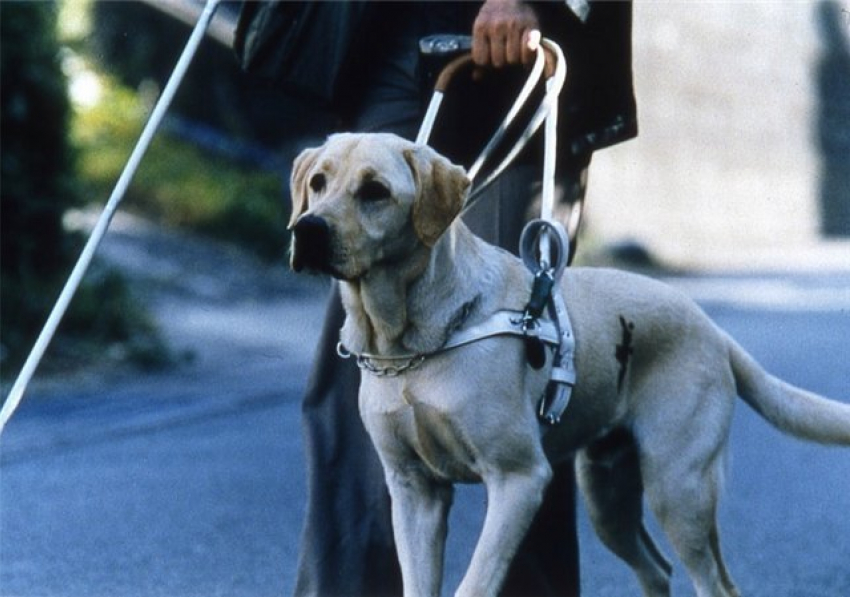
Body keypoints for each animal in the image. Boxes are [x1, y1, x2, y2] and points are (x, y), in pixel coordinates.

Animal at [286, 134, 848, 596]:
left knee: (716, 584)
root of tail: (714, 330)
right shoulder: (413, 491)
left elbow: (475, 582)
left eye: (375, 191)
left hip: (680, 489)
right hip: (607, 496)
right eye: (318, 182)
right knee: (656, 570)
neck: (410, 345)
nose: (306, 230)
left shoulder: (518, 480)